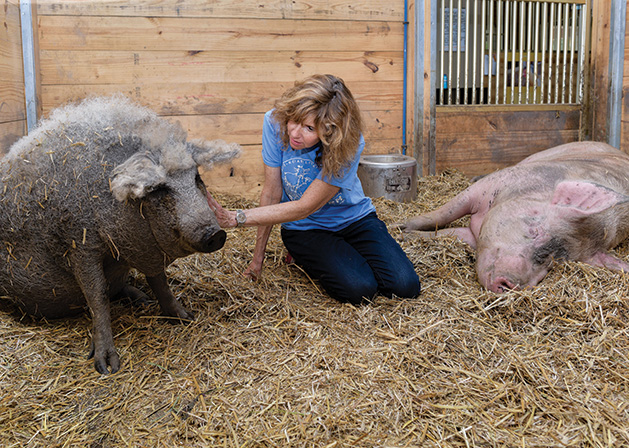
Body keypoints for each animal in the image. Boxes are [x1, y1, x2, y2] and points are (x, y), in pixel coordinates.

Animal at [0, 97, 240, 374]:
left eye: (197, 177)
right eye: (159, 189)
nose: (216, 234)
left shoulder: (146, 250)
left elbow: (160, 282)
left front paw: (186, 318)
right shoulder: (78, 244)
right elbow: (98, 296)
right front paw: (107, 367)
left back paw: (143, 300)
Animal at [398, 142, 628, 292]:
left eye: (556, 263)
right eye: (534, 230)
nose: (511, 284)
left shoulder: (474, 236)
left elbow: (445, 233)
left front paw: (406, 234)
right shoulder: (492, 184)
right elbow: (441, 215)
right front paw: (399, 226)